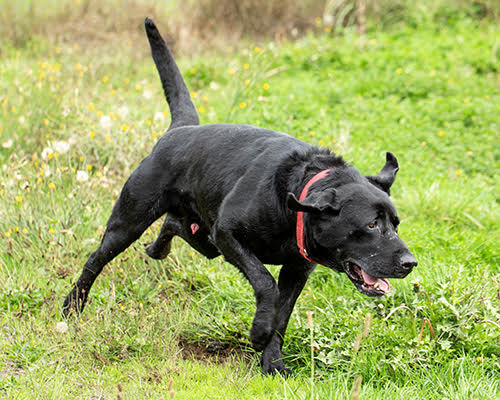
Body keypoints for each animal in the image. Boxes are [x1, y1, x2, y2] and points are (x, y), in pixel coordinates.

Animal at [65, 18, 418, 376]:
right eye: (371, 225)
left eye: (396, 224)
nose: (410, 263)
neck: (295, 200)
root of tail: (180, 130)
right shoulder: (228, 234)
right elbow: (265, 284)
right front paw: (259, 331)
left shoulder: (295, 270)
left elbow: (283, 316)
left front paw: (273, 363)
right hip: (130, 221)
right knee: (95, 261)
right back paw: (71, 308)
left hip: (204, 238)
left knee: (174, 226)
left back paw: (157, 248)